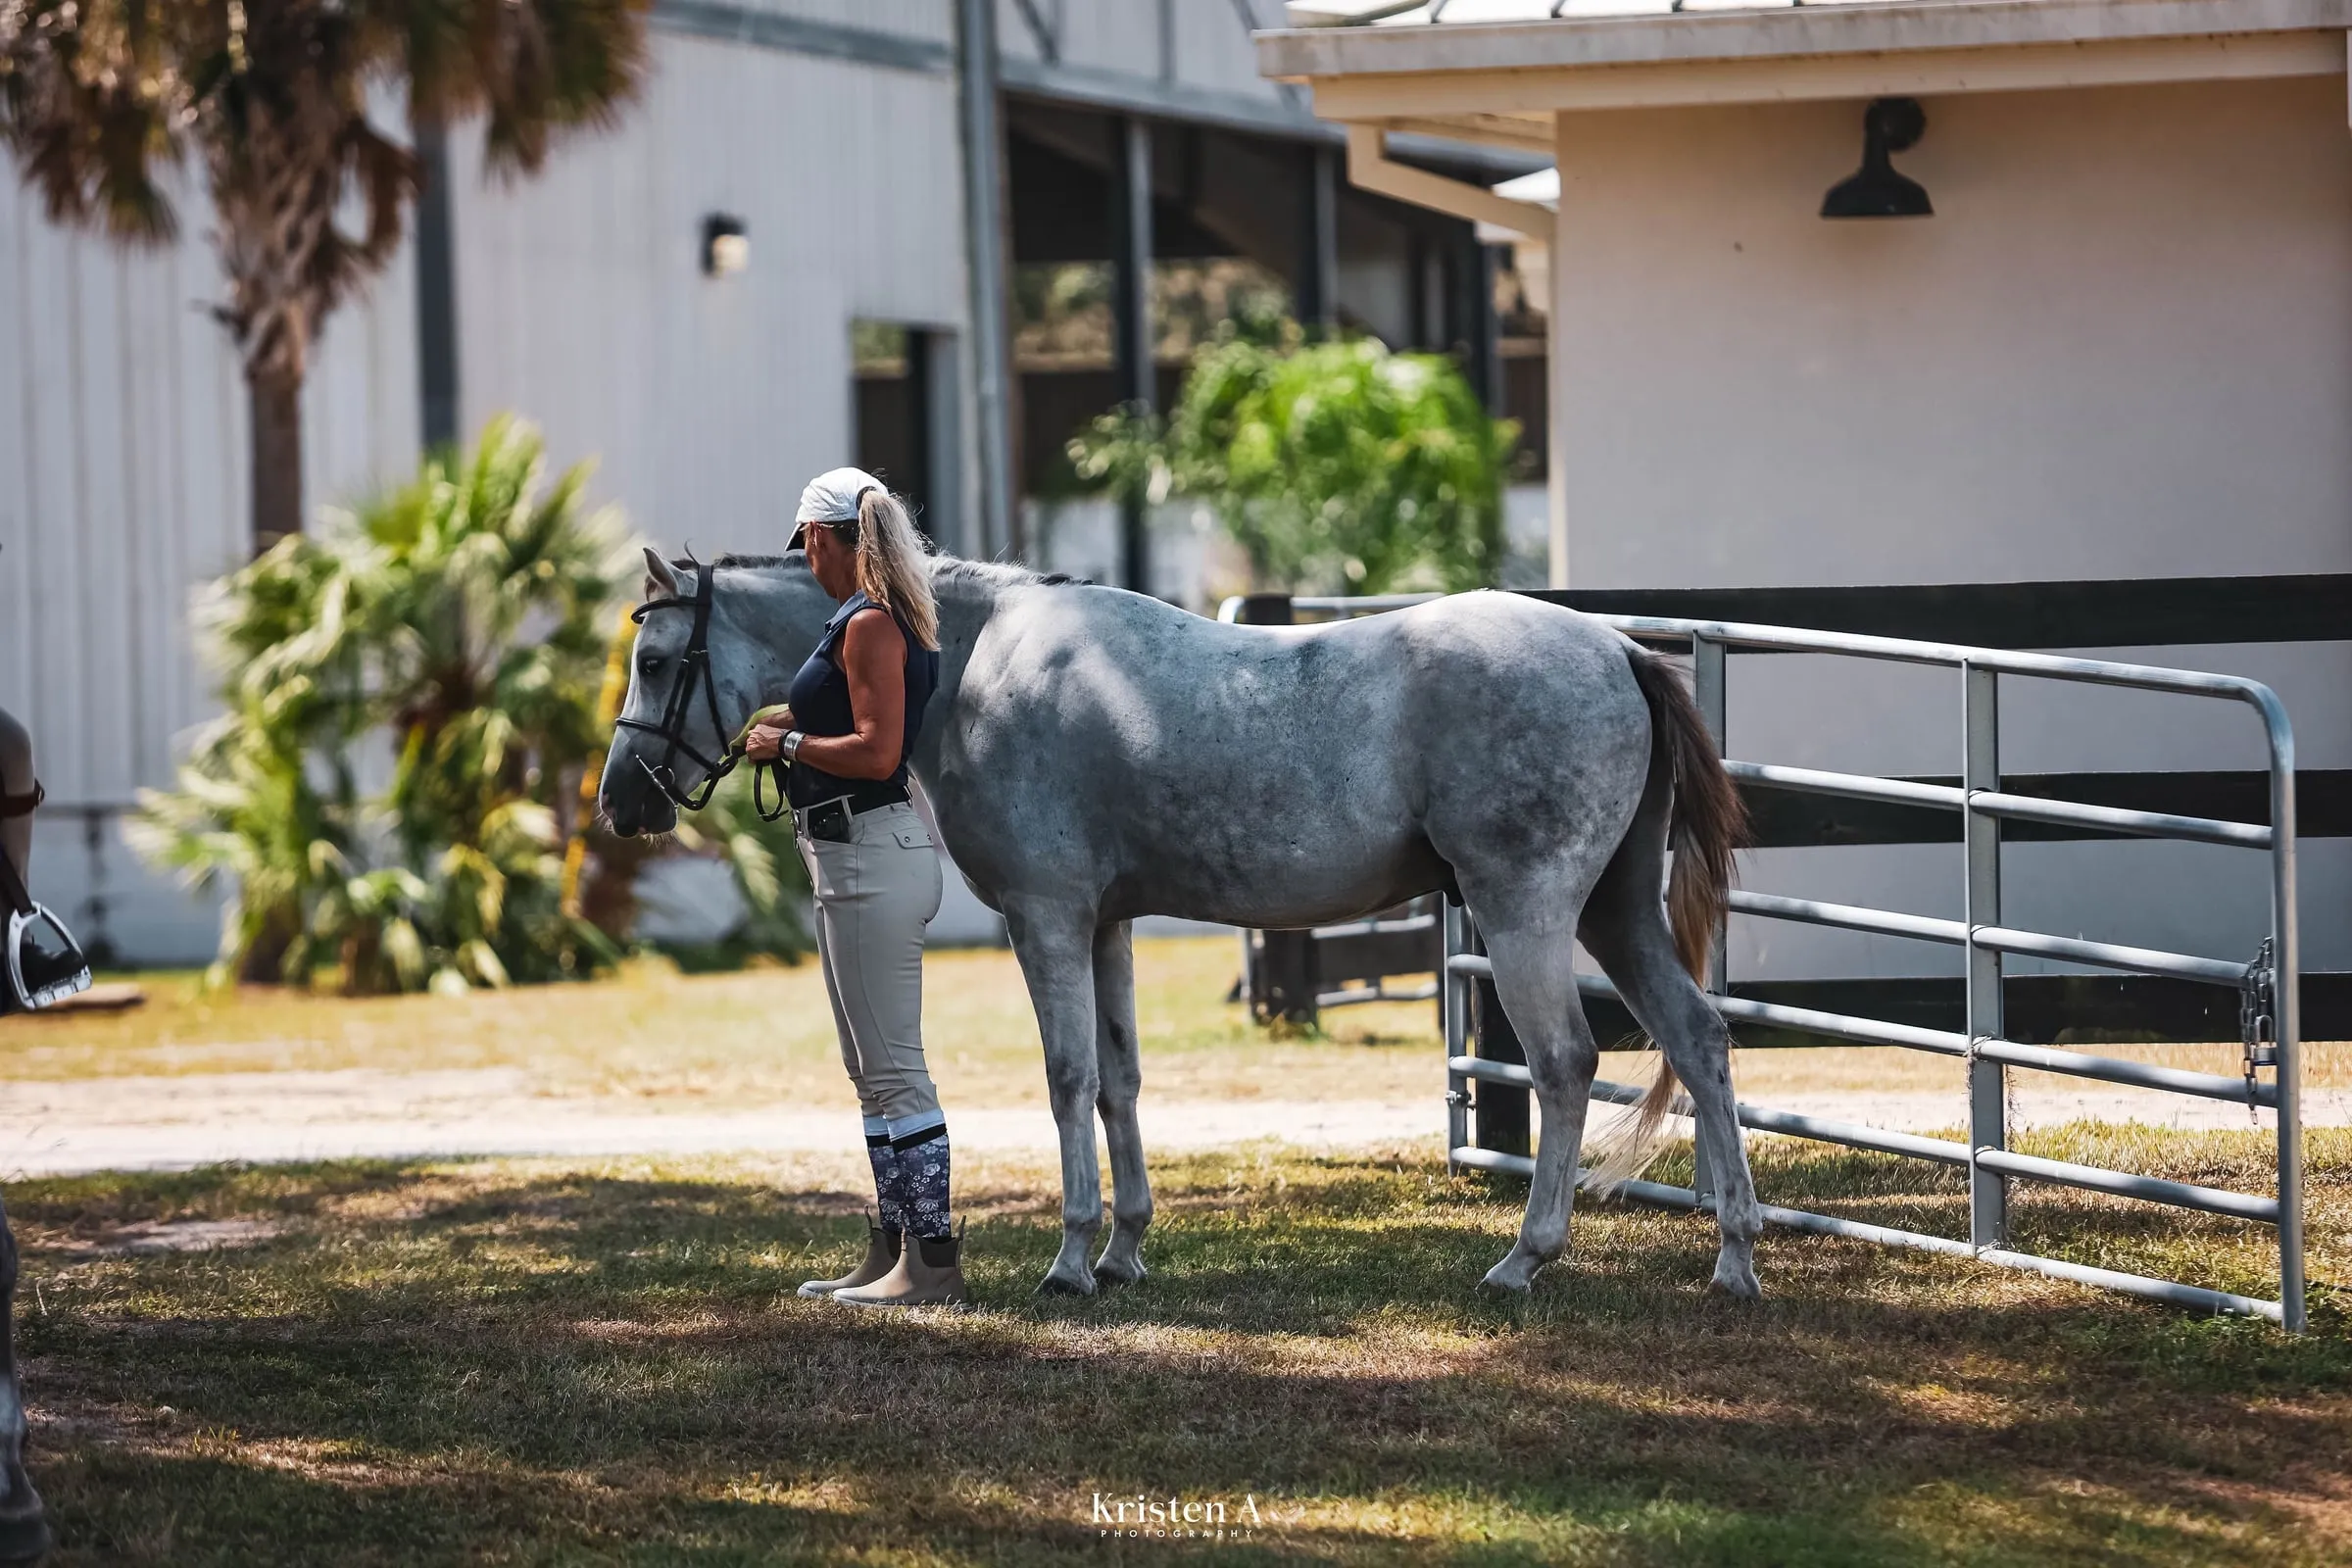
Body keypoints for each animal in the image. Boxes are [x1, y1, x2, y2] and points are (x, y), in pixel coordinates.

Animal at [599, 549, 1761, 1300]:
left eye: (655, 662)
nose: (621, 801)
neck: (974, 663)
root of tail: (1615, 650)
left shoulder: (1048, 919)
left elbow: (1067, 1076)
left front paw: (1071, 1261)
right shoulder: (1107, 925)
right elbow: (1118, 1080)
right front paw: (1123, 1251)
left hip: (1527, 915)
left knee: (1566, 1063)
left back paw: (1525, 1258)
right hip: (1614, 913)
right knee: (1700, 1038)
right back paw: (1735, 1258)